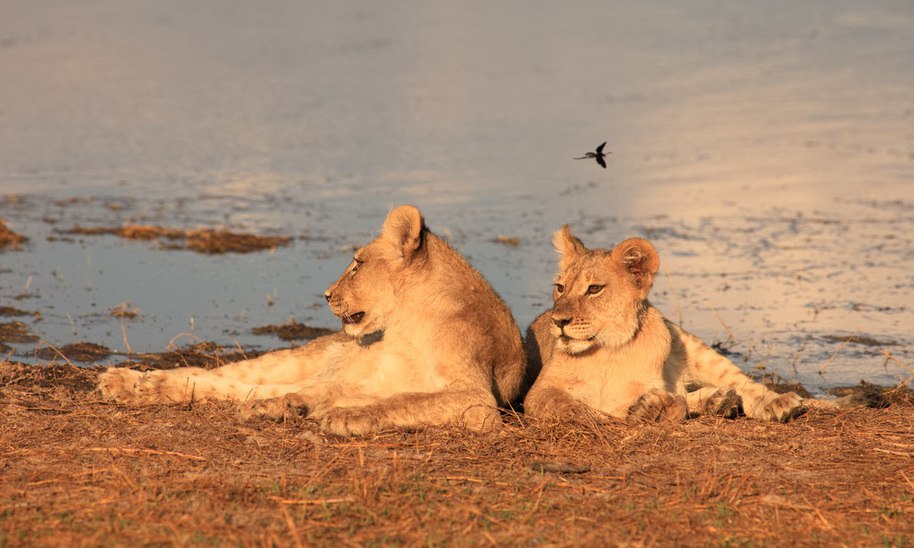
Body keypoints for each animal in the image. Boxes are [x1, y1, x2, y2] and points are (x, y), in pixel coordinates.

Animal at [96, 206, 524, 436]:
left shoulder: (478, 399)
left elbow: (405, 399)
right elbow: (342, 393)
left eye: (357, 264)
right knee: (219, 376)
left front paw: (340, 416)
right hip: (298, 359)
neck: (407, 323)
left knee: (244, 388)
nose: (327, 294)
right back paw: (127, 382)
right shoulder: (360, 377)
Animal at [524, 227, 800, 424]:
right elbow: (562, 403)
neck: (606, 352)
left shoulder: (641, 389)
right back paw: (719, 399)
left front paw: (652, 409)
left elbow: (675, 404)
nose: (558, 321)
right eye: (560, 288)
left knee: (737, 381)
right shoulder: (538, 391)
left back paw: (778, 403)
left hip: (693, 347)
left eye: (594, 289)